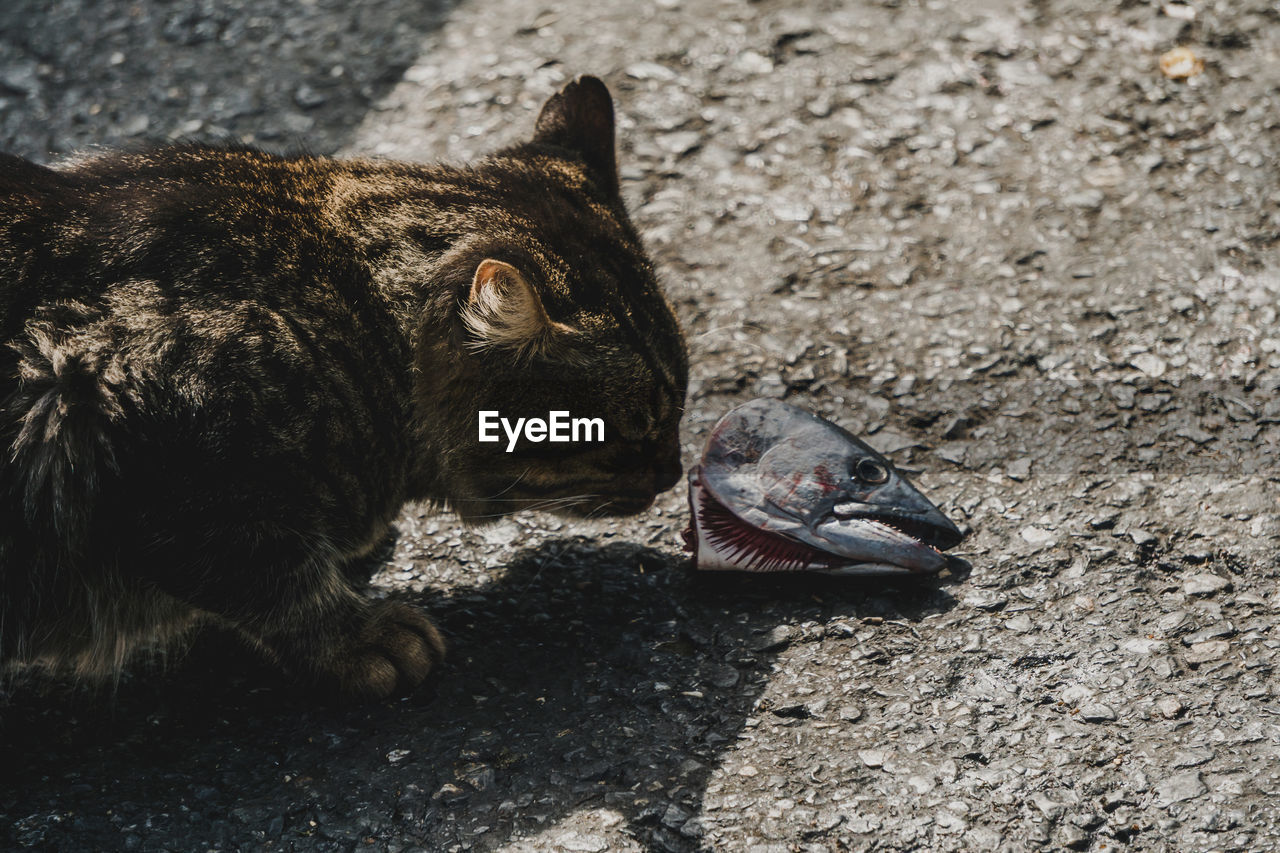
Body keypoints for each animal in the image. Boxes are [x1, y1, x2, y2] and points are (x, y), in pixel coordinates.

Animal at [0, 74, 691, 696]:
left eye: (681, 406)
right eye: (631, 428)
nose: (674, 473)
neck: (351, 322)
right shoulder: (117, 421)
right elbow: (273, 578)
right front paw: (358, 637)